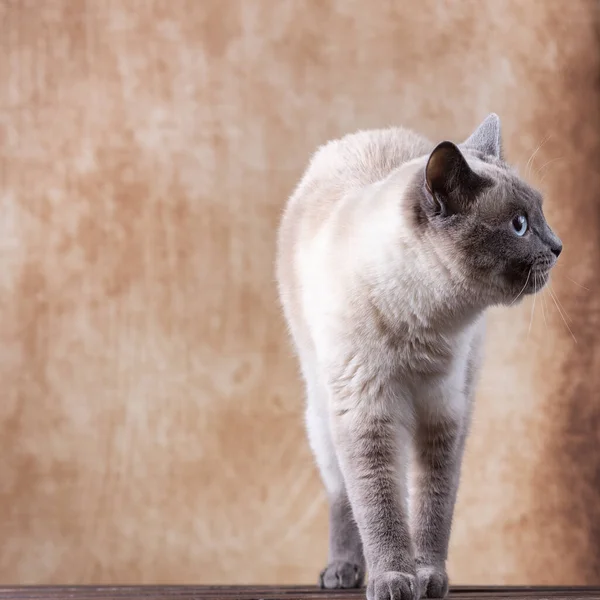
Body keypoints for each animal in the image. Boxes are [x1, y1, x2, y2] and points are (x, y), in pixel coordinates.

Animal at [276, 113, 564, 600]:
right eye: (519, 225)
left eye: (538, 215)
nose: (559, 247)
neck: (422, 323)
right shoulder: (366, 412)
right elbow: (377, 504)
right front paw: (393, 578)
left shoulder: (441, 413)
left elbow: (432, 505)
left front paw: (426, 577)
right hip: (322, 413)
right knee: (343, 495)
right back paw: (343, 572)